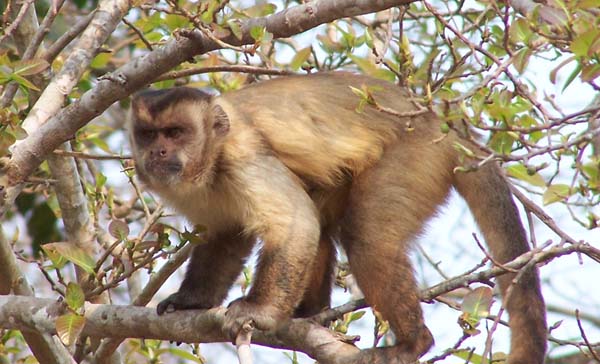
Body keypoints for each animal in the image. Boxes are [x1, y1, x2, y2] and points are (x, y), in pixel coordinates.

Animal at [129, 72, 548, 362]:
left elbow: (294, 222)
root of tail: (439, 121)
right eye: (149, 135)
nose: (159, 153)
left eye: (176, 132)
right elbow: (226, 237)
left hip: (418, 152)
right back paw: (311, 315)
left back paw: (412, 343)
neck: (212, 158)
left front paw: (259, 312)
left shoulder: (243, 155)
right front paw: (192, 302)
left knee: (366, 238)